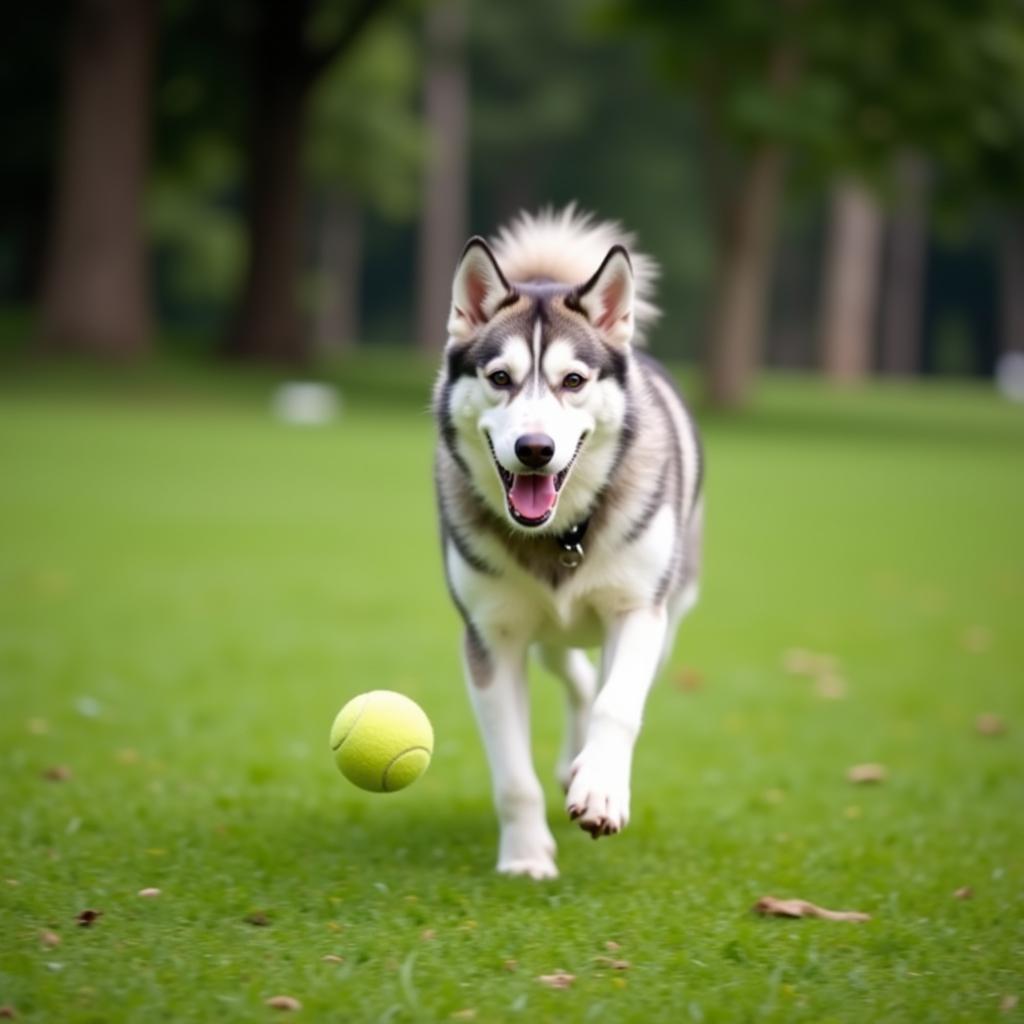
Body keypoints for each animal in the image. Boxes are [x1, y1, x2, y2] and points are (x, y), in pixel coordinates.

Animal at [432, 207, 704, 880]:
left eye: (573, 380)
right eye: (500, 378)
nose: (535, 449)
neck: (562, 536)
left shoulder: (638, 612)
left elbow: (617, 705)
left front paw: (602, 790)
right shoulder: (491, 637)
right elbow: (512, 774)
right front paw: (526, 857)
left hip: (664, 616)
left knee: (605, 683)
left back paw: (586, 767)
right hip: (549, 634)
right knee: (575, 674)